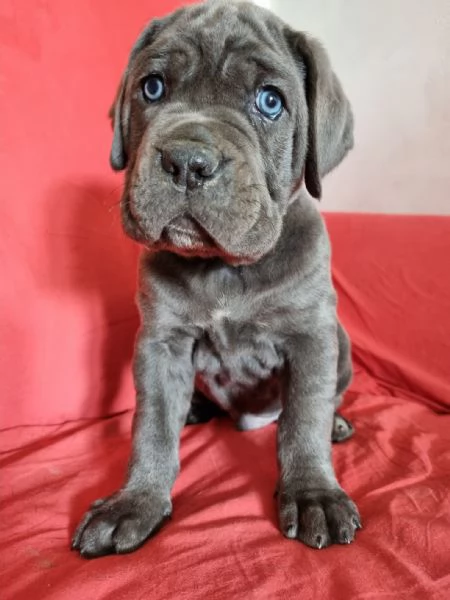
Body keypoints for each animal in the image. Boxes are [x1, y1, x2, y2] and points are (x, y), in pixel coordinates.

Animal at [74, 0, 362, 556]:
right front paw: (135, 501)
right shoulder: (161, 342)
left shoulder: (311, 337)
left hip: (341, 344)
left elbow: (304, 418)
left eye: (270, 101)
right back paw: (194, 410)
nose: (186, 160)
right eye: (153, 88)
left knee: (324, 403)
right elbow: (151, 426)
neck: (225, 267)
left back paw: (336, 423)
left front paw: (312, 494)